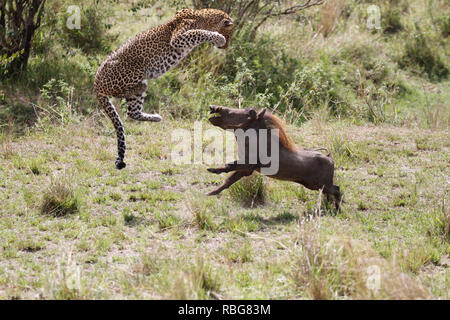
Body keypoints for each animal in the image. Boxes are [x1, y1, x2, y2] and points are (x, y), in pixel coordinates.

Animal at [93, 8, 234, 170]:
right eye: (229, 35)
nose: (225, 46)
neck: (203, 18)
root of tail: (95, 82)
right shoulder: (178, 37)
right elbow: (198, 32)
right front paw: (218, 37)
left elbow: (199, 32)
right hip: (133, 72)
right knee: (122, 92)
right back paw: (140, 87)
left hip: (134, 96)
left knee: (132, 112)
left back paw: (156, 117)